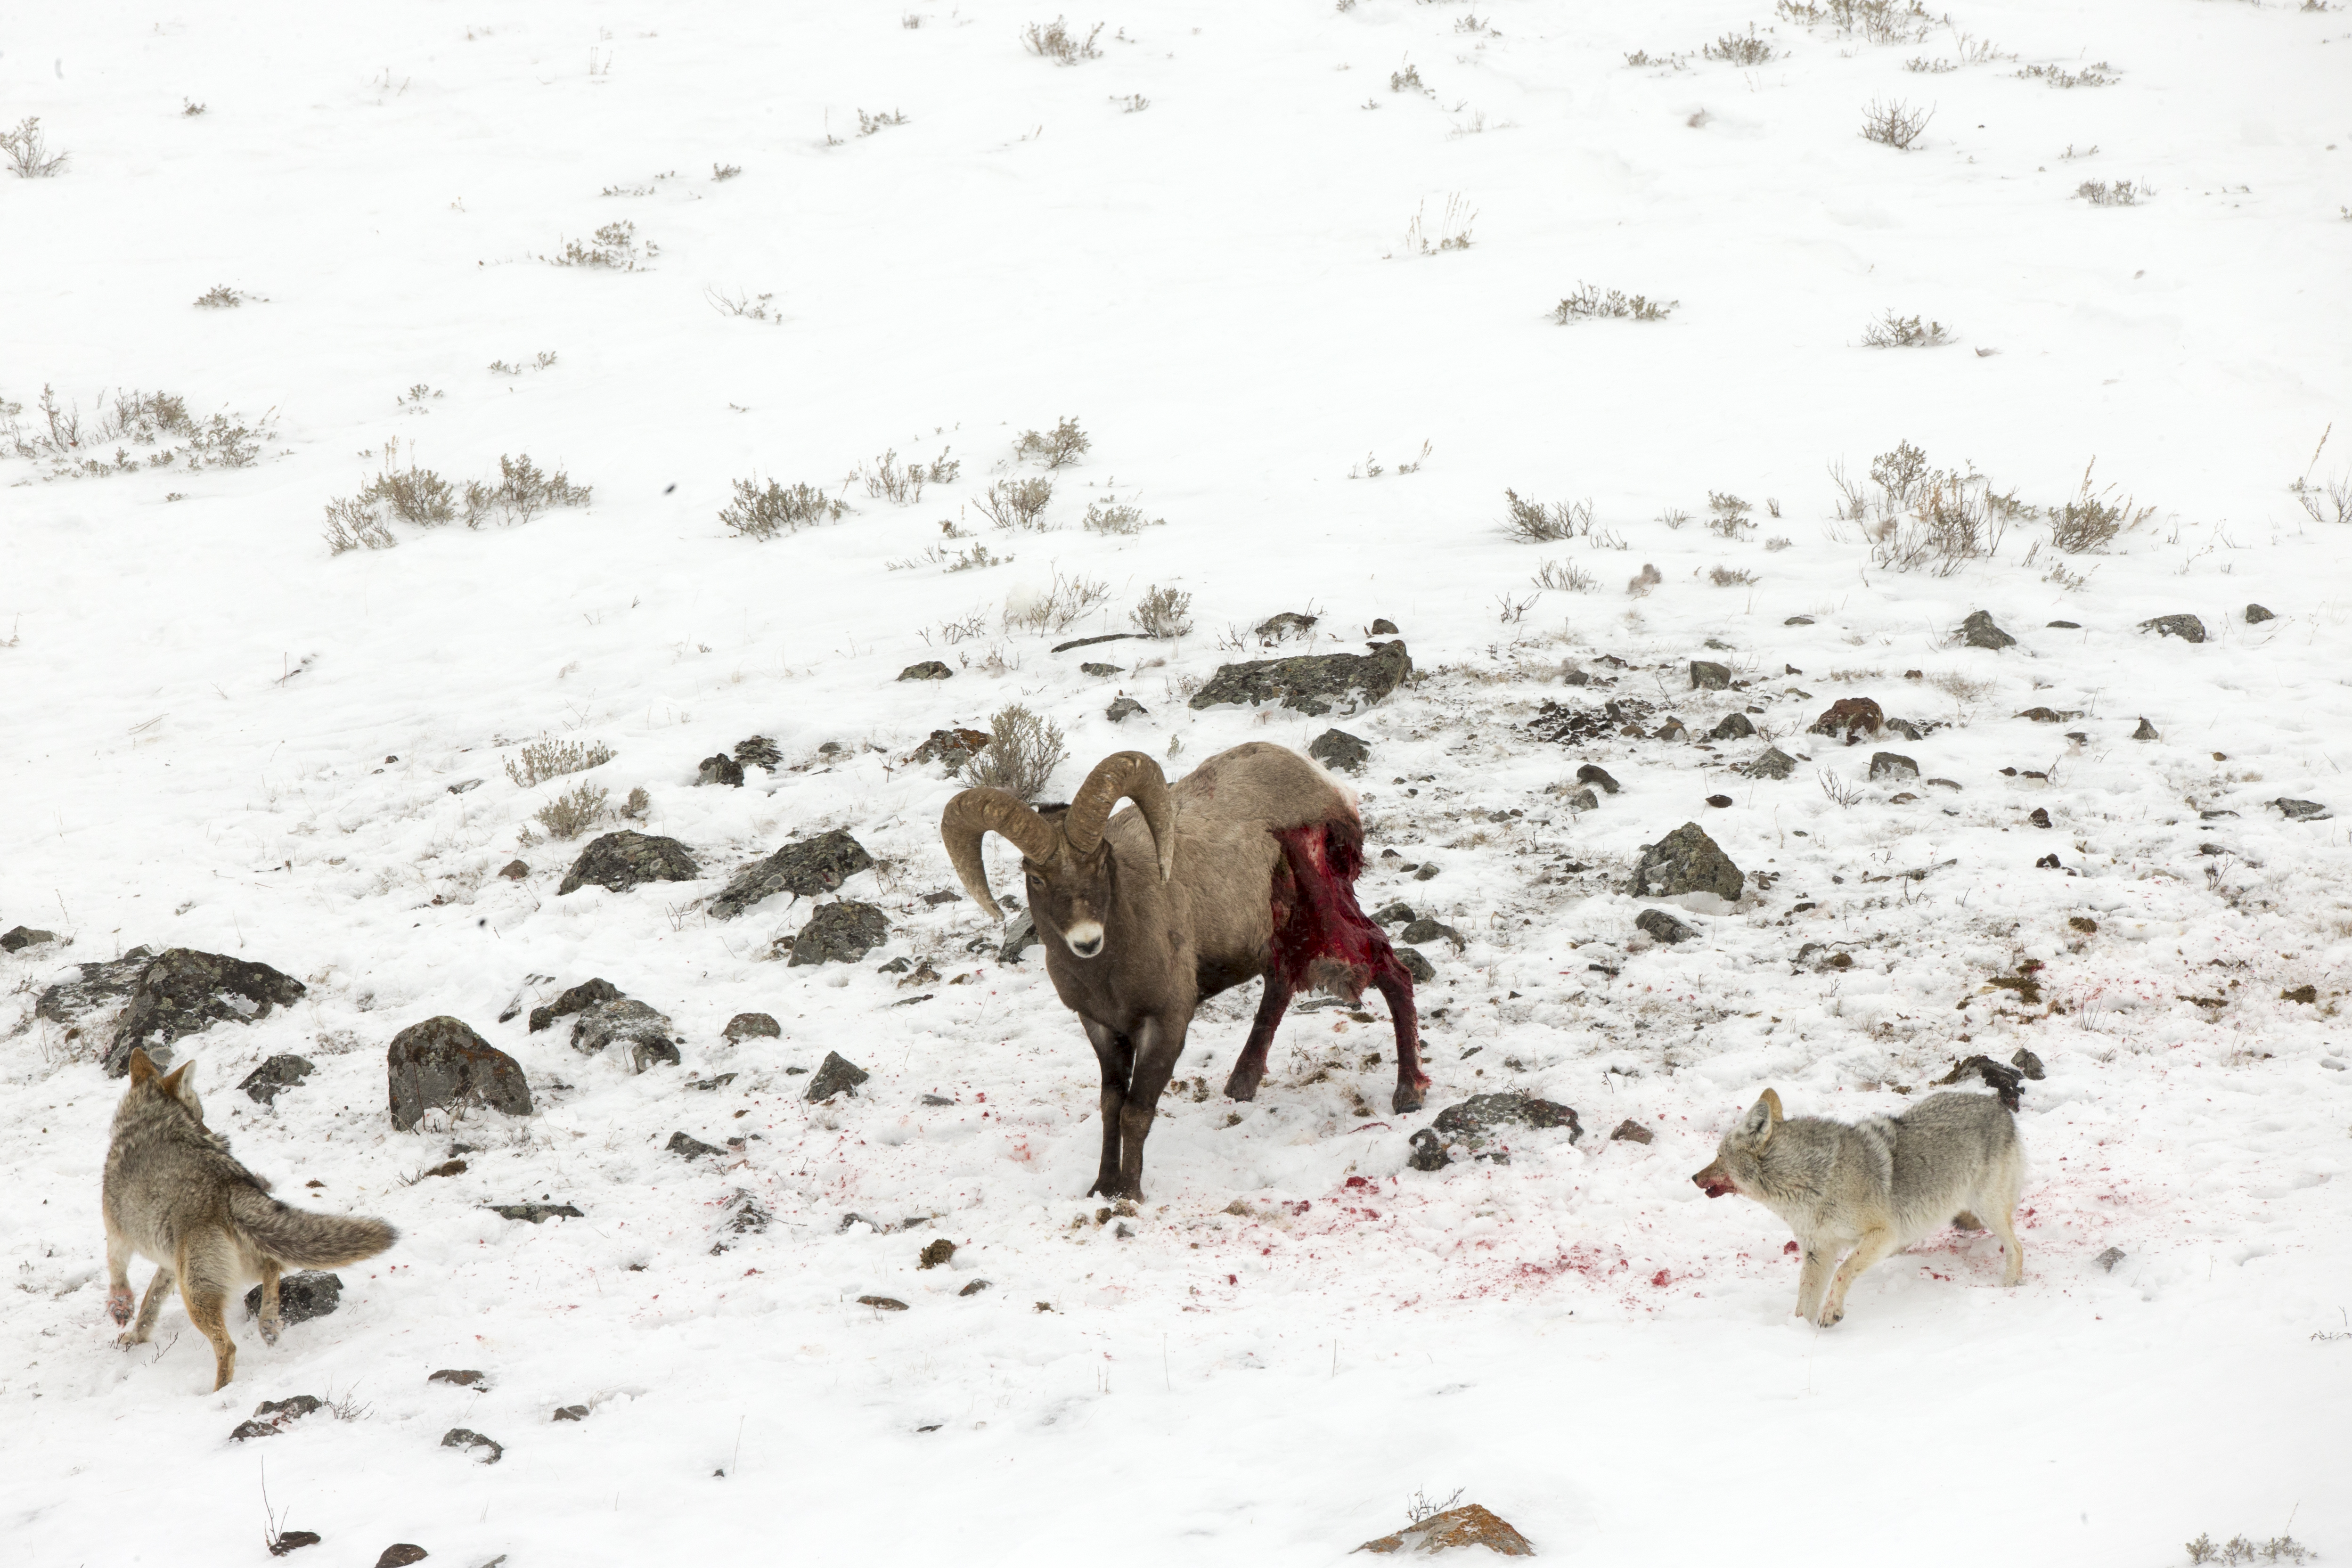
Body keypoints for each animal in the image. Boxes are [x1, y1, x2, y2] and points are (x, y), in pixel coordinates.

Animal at [941, 742, 1429, 1199]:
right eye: (1037, 877)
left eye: (1100, 861)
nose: (1087, 942)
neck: (1109, 973)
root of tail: (1326, 784)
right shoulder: (1101, 1027)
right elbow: (1110, 1106)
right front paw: (1101, 1186)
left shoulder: (1166, 1024)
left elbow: (1137, 1112)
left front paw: (1131, 1194)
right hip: (1283, 932)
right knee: (1280, 987)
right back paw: (1241, 1086)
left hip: (1325, 909)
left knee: (1391, 970)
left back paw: (1408, 1094)